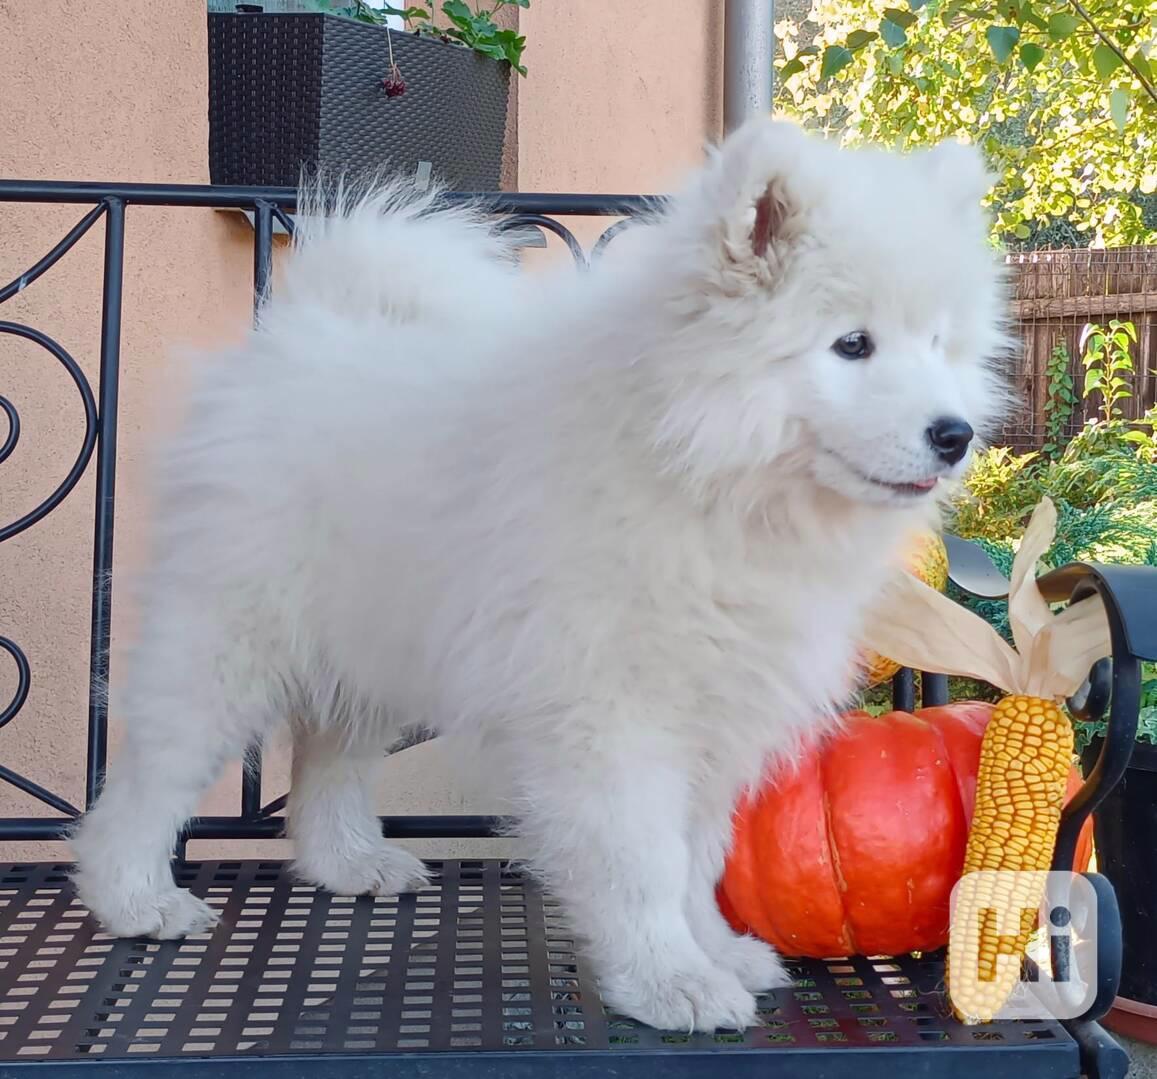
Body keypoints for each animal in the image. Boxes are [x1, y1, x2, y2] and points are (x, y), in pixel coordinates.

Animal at [74, 115, 1013, 1026]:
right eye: (852, 344)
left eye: (939, 344)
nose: (953, 433)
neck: (704, 473)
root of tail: (299, 327)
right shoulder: (610, 712)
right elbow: (642, 860)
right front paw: (668, 980)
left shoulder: (715, 709)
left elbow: (698, 855)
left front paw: (714, 949)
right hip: (228, 635)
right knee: (153, 770)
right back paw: (134, 898)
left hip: (374, 638)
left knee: (329, 755)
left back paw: (348, 862)